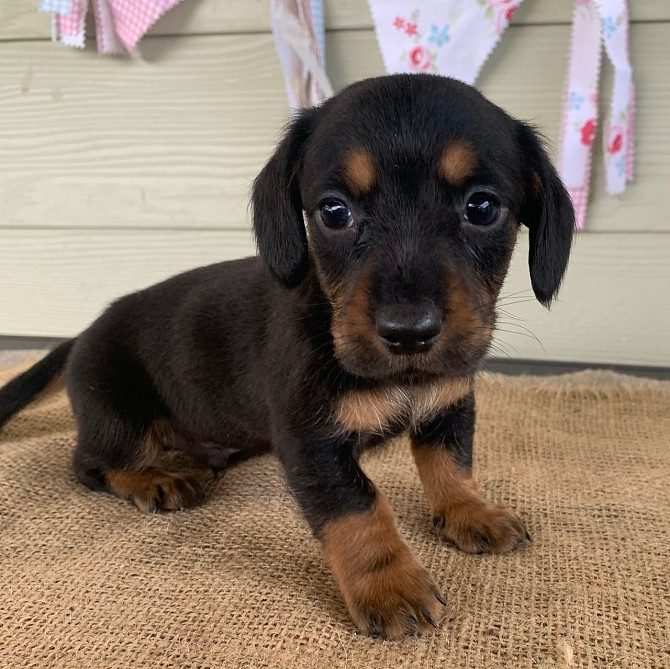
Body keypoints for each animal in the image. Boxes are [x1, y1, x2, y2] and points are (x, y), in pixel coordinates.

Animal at [1, 75, 576, 640]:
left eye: (482, 208)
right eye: (335, 212)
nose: (408, 332)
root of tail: (81, 335)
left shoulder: (450, 405)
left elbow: (451, 466)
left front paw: (471, 512)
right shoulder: (312, 442)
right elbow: (358, 506)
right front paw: (389, 585)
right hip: (118, 415)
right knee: (90, 465)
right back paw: (155, 478)